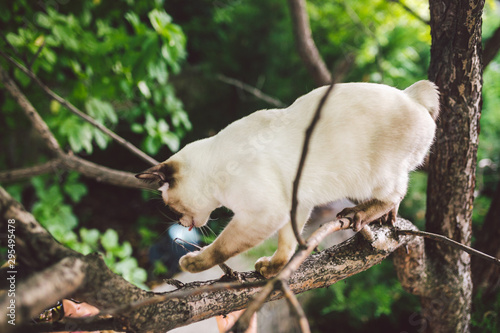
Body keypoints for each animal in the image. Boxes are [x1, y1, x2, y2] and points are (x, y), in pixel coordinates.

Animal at [136, 81, 438, 278]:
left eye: (171, 207)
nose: (178, 222)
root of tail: (411, 94)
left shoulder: (263, 213)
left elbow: (221, 248)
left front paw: (192, 263)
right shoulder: (296, 204)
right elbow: (288, 244)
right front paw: (272, 269)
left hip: (374, 176)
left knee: (396, 193)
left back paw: (359, 214)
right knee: (397, 196)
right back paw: (388, 218)